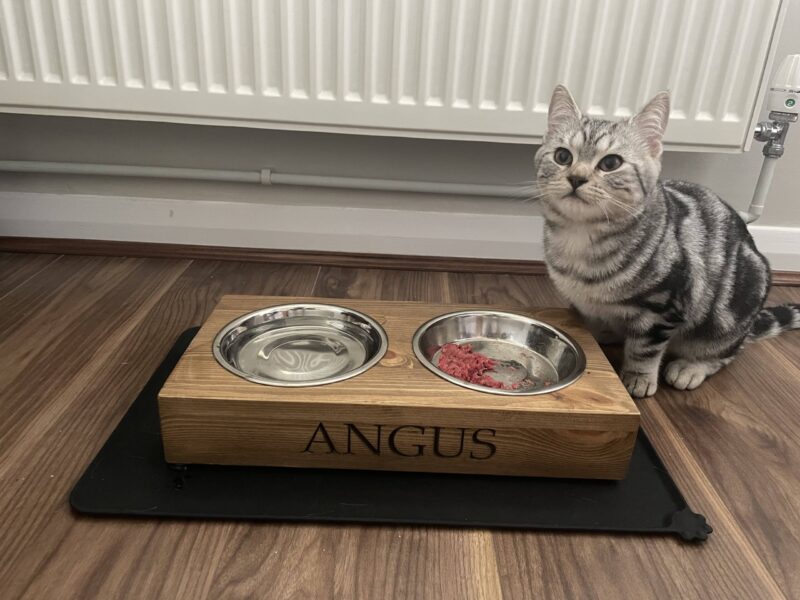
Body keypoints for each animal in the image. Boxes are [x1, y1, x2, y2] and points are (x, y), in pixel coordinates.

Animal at [532, 82, 800, 396]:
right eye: (563, 157)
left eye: (610, 163)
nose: (576, 177)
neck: (580, 237)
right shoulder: (585, 305)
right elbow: (590, 326)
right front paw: (596, 339)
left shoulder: (664, 306)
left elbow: (645, 348)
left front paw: (639, 377)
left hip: (732, 311)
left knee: (728, 351)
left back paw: (691, 367)